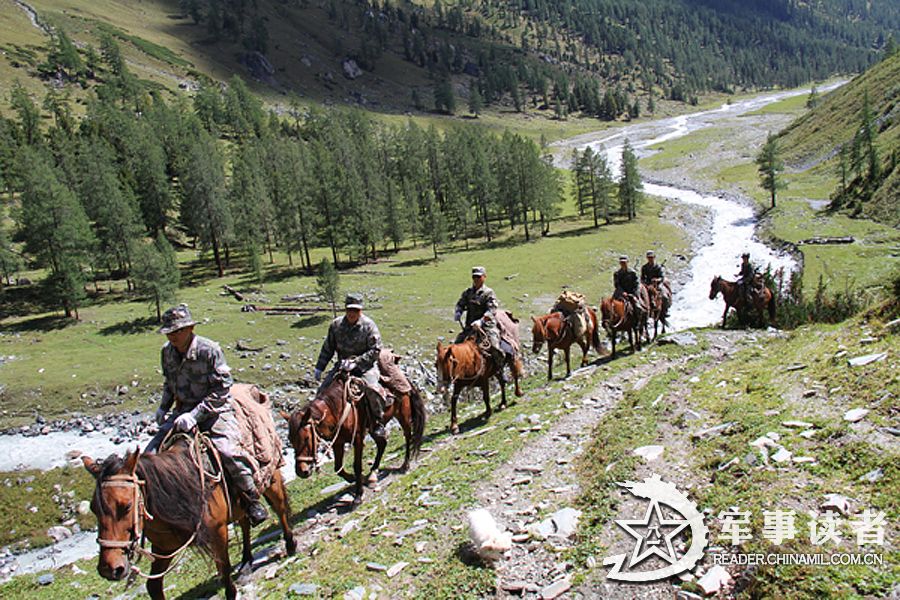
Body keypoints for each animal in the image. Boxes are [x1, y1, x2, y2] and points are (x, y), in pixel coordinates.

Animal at [284, 372, 426, 504]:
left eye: (307, 438)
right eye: (290, 440)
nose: (301, 471)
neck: (336, 409)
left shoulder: (357, 439)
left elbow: (357, 466)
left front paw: (358, 495)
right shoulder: (338, 442)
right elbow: (338, 468)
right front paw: (355, 479)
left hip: (403, 415)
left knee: (407, 436)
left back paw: (405, 465)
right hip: (374, 427)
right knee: (382, 443)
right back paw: (372, 474)